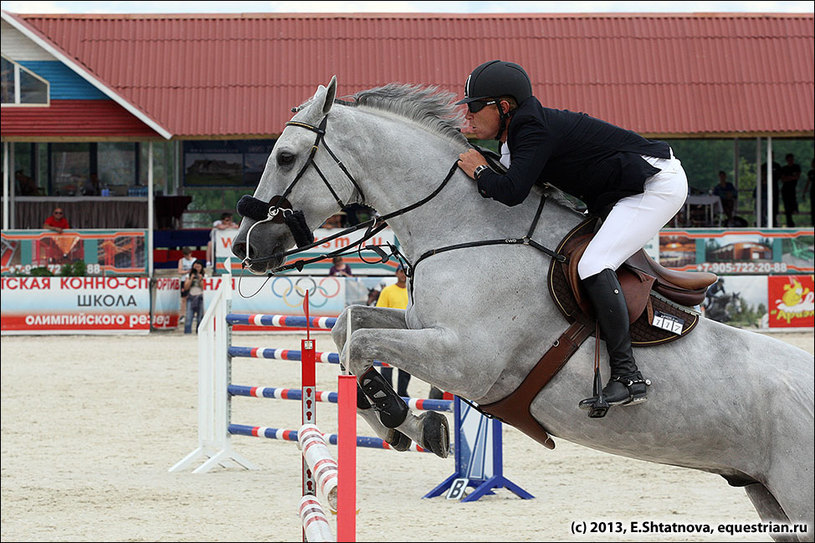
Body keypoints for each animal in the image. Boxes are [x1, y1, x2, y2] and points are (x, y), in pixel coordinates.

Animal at [233, 78, 812, 540]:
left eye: (285, 157)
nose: (244, 246)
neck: (466, 228)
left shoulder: (468, 360)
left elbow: (358, 344)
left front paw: (405, 420)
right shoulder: (425, 327)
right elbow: (345, 329)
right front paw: (409, 425)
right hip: (771, 500)